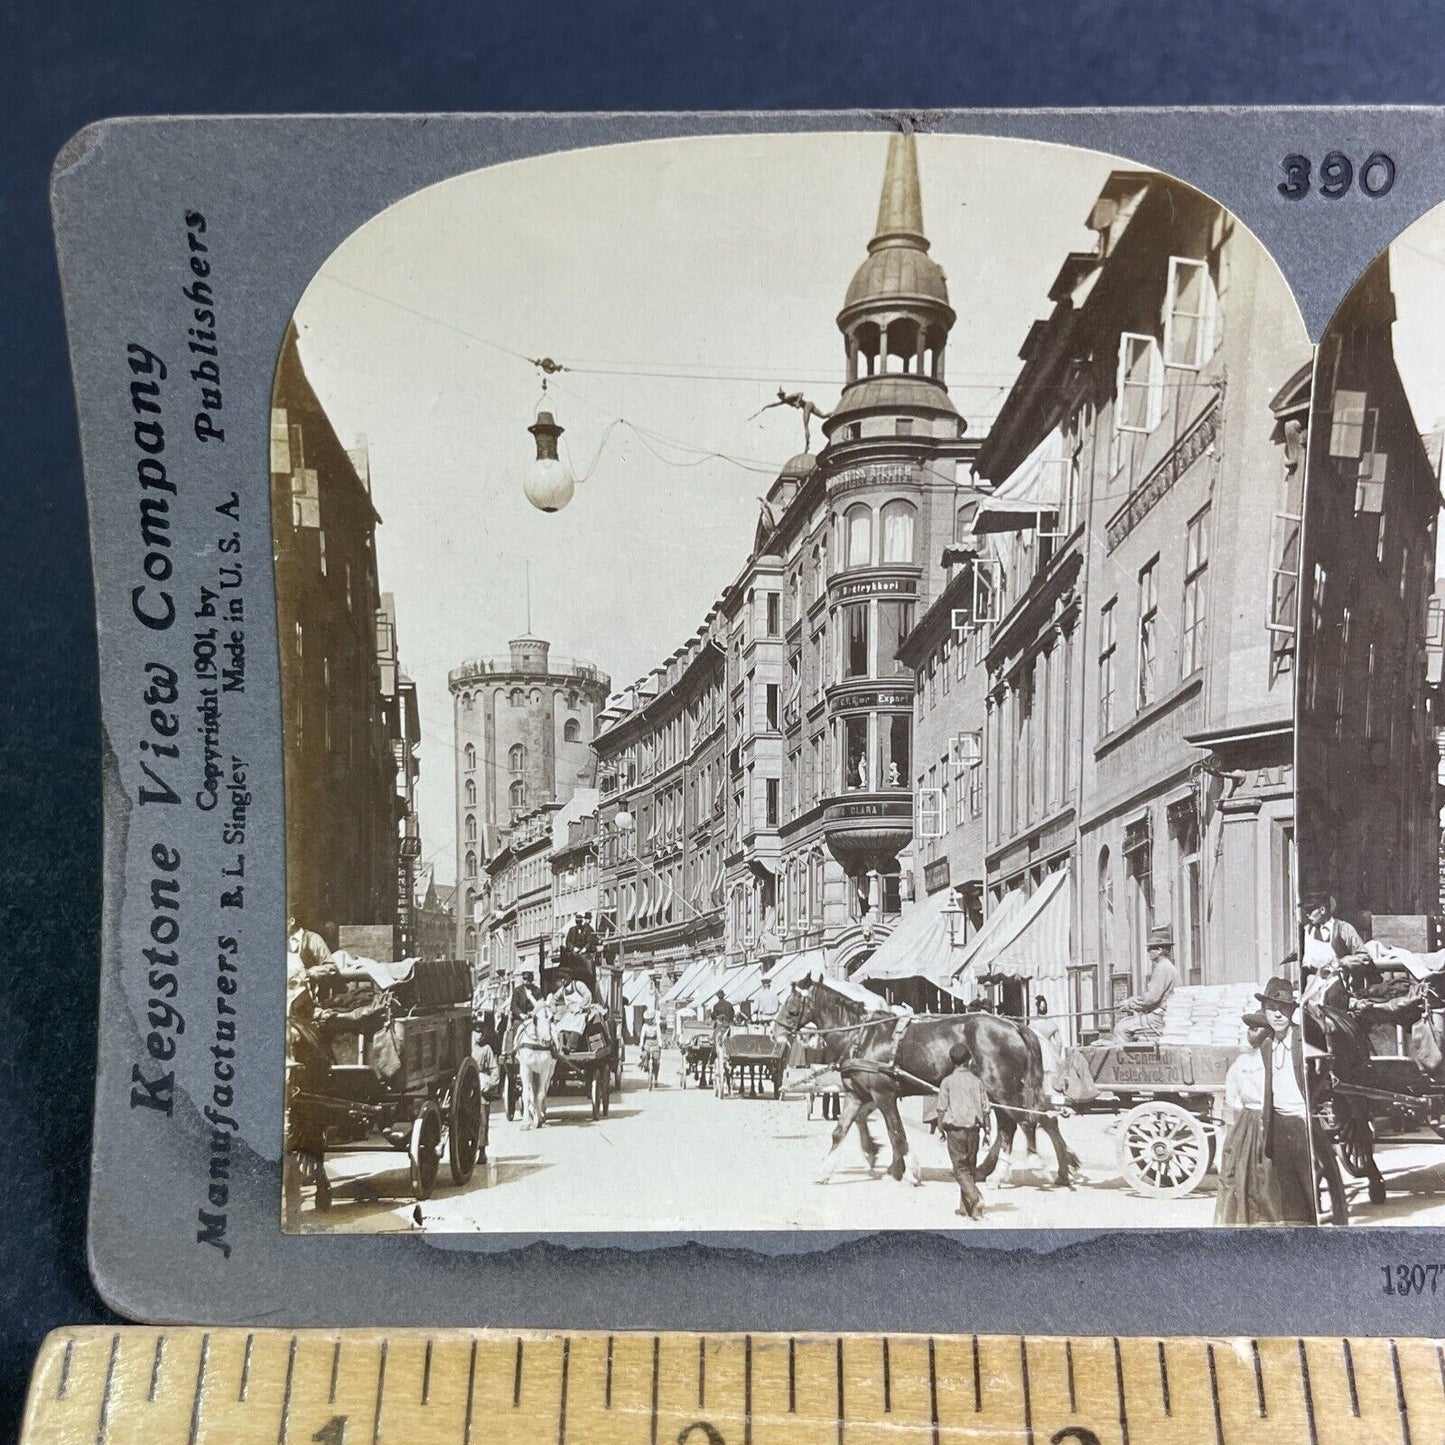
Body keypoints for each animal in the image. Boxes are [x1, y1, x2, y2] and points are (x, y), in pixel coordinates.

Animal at [774, 976, 1080, 1190]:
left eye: (792, 1005)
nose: (775, 1032)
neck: (862, 1035)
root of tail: (1015, 1025)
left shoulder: (883, 1094)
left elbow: (897, 1133)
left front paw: (909, 1171)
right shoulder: (857, 1094)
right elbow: (841, 1131)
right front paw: (828, 1170)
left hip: (1002, 1088)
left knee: (1021, 1123)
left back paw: (1022, 1168)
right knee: (1025, 1122)